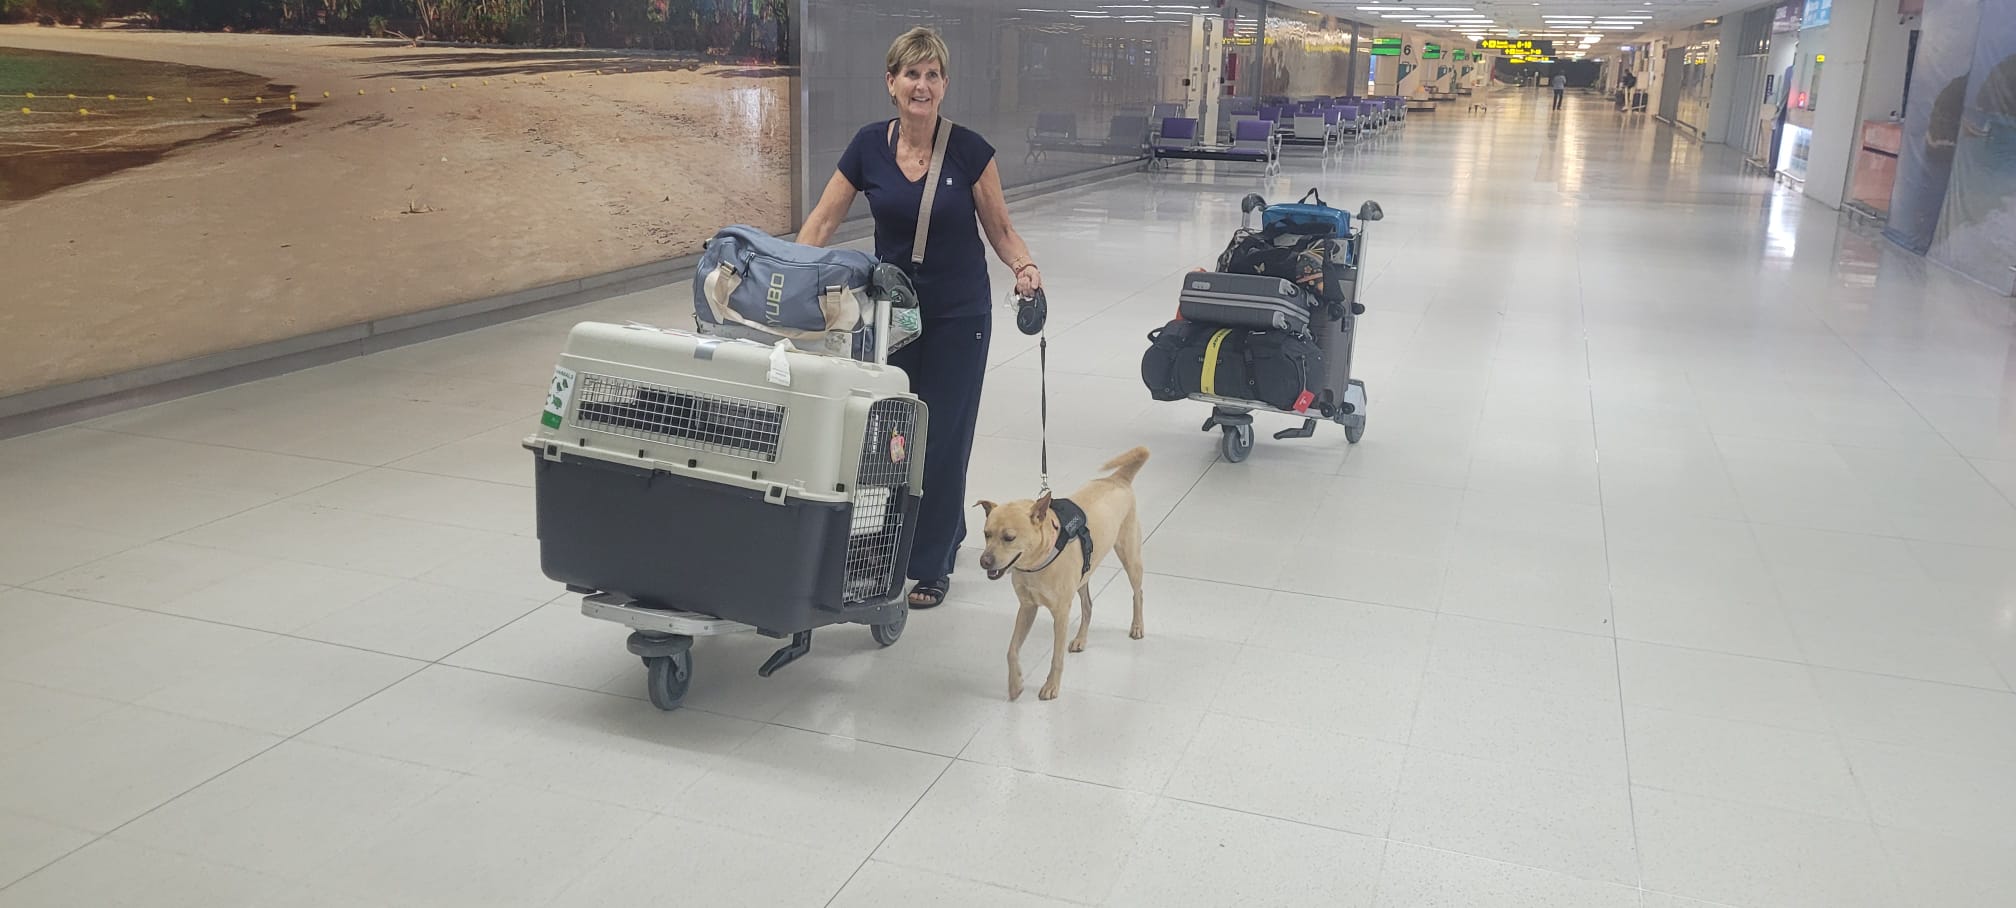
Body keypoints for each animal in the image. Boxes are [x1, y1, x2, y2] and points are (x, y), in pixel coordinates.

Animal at [974, 446, 1150, 701]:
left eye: (1009, 537)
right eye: (986, 534)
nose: (984, 561)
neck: (1035, 565)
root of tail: (1117, 479)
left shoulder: (1060, 614)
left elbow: (1056, 657)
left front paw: (1051, 686)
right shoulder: (1027, 607)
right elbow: (1011, 650)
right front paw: (1015, 683)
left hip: (1130, 556)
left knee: (1138, 593)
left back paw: (1137, 626)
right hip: (1084, 574)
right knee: (1088, 606)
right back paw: (1081, 639)